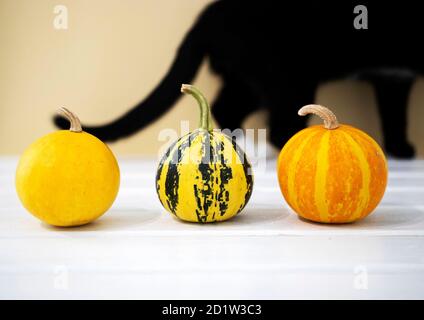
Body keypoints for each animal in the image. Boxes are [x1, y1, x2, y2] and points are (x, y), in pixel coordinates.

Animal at [53, 0, 418, 158]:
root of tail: (211, 11)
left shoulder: (394, 77)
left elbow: (395, 111)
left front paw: (399, 148)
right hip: (284, 73)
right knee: (279, 124)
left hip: (248, 76)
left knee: (227, 106)